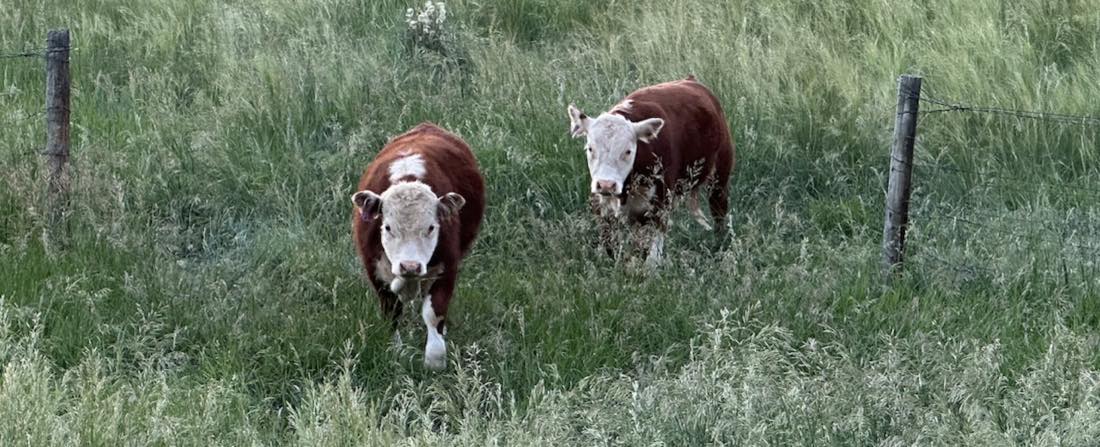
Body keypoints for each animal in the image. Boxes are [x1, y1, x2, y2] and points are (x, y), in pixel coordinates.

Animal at [351, 123, 485, 370]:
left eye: (431, 227)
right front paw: (395, 351)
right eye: (387, 227)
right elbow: (391, 311)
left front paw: (435, 359)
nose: (410, 266)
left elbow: (434, 313)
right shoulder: (374, 270)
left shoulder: (447, 268)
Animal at [567, 76, 735, 267]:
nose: (606, 185)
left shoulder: (661, 203)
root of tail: (690, 80)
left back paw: (719, 241)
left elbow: (653, 254)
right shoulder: (602, 208)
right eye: (590, 148)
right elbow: (611, 246)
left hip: (720, 175)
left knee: (718, 209)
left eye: (628, 151)